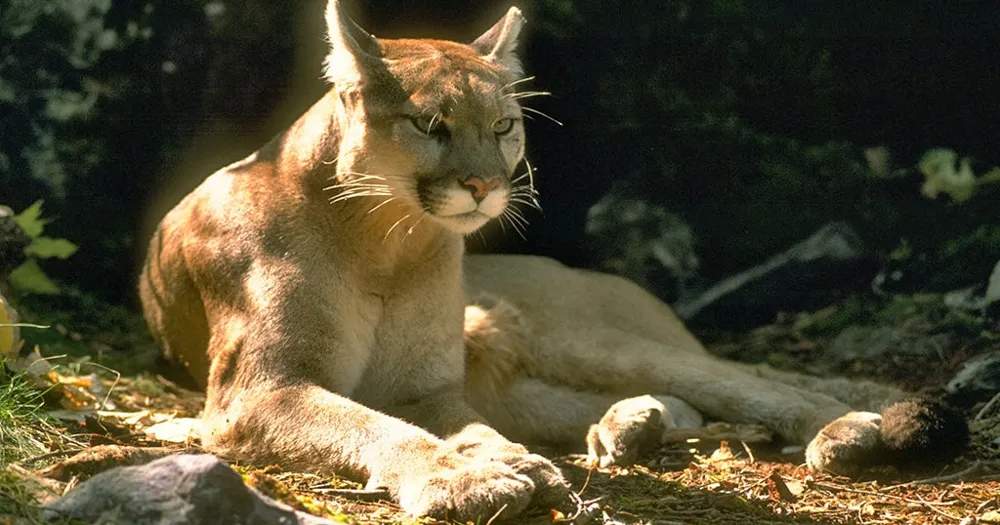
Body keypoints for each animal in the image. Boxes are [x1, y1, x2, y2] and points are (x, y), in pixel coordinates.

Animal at [140, 1, 966, 520]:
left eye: (505, 125)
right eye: (430, 124)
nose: (482, 184)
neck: (388, 240)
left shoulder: (422, 386)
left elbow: (426, 425)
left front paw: (499, 468)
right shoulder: (260, 389)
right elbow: (378, 427)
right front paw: (477, 474)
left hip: (571, 332)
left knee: (749, 379)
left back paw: (844, 429)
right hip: (527, 375)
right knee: (667, 403)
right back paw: (630, 429)